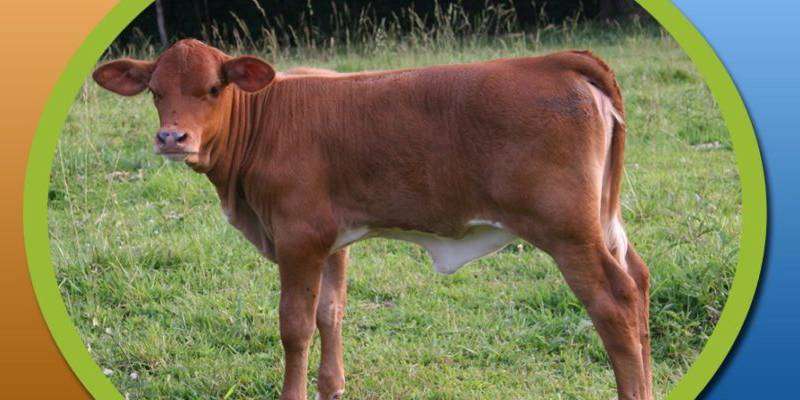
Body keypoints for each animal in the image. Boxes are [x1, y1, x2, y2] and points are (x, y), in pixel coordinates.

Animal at [92, 39, 651, 400]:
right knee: (640, 280)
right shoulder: (332, 239)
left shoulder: (298, 236)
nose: (172, 138)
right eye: (155, 90)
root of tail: (558, 61)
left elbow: (295, 325)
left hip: (567, 232)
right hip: (604, 222)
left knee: (614, 301)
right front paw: (331, 387)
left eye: (213, 88)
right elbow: (331, 312)